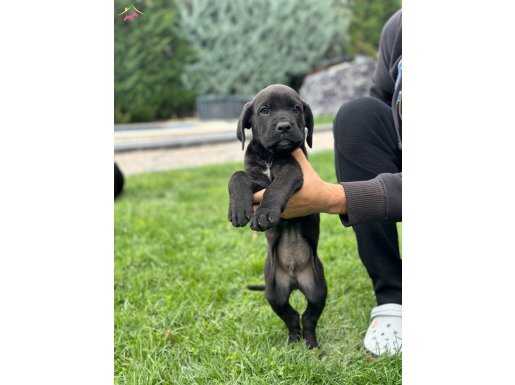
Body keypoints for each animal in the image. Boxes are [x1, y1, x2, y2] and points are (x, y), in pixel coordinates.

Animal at [229, 85, 328, 348]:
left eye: (296, 108)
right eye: (264, 110)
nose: (284, 126)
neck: (270, 156)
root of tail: (294, 279)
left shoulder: (293, 171)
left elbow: (277, 187)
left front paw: (265, 214)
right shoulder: (255, 178)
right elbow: (237, 176)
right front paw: (238, 209)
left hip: (317, 289)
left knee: (308, 317)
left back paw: (311, 344)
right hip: (274, 293)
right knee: (290, 316)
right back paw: (293, 340)